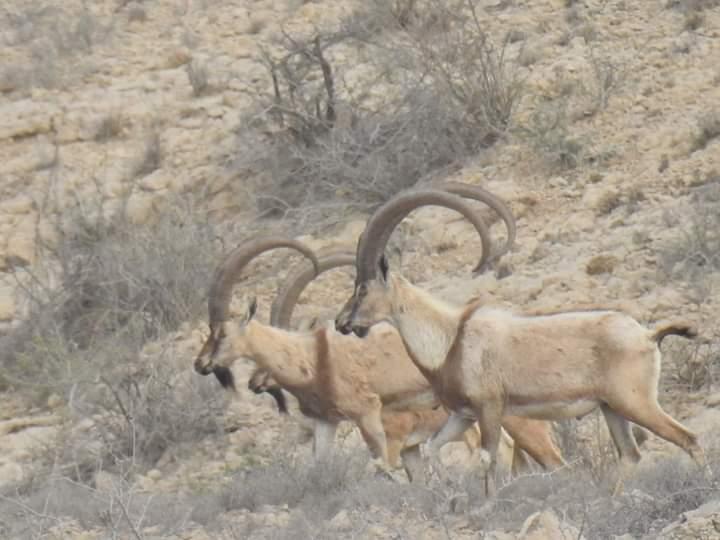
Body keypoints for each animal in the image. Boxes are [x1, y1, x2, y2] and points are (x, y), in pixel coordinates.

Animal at [194, 237, 564, 479]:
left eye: (221, 333)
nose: (201, 364)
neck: (315, 360)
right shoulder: (328, 423)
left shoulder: (371, 417)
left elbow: (384, 467)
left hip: (517, 420)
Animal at [335, 187, 707, 496]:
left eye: (363, 288)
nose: (342, 323)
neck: (449, 340)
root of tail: (646, 335)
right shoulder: (463, 415)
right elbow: (433, 449)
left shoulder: (490, 408)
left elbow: (488, 459)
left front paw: (487, 505)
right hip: (612, 408)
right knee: (631, 454)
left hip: (635, 402)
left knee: (688, 438)